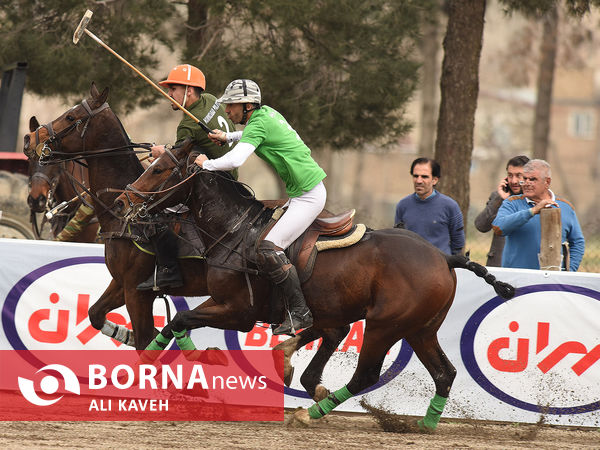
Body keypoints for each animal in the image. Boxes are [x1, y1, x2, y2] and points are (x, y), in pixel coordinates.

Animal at [23, 83, 350, 400]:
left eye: (70, 116)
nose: (29, 140)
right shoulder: (122, 282)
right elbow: (95, 314)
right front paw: (126, 335)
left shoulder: (136, 289)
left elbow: (146, 339)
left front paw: (183, 380)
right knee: (332, 330)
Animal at [113, 136, 516, 428]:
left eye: (161, 169)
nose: (122, 201)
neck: (234, 231)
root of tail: (445, 257)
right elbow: (179, 322)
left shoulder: (237, 310)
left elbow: (181, 319)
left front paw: (164, 356)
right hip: (420, 328)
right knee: (444, 373)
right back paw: (424, 425)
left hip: (385, 325)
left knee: (366, 374)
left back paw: (313, 413)